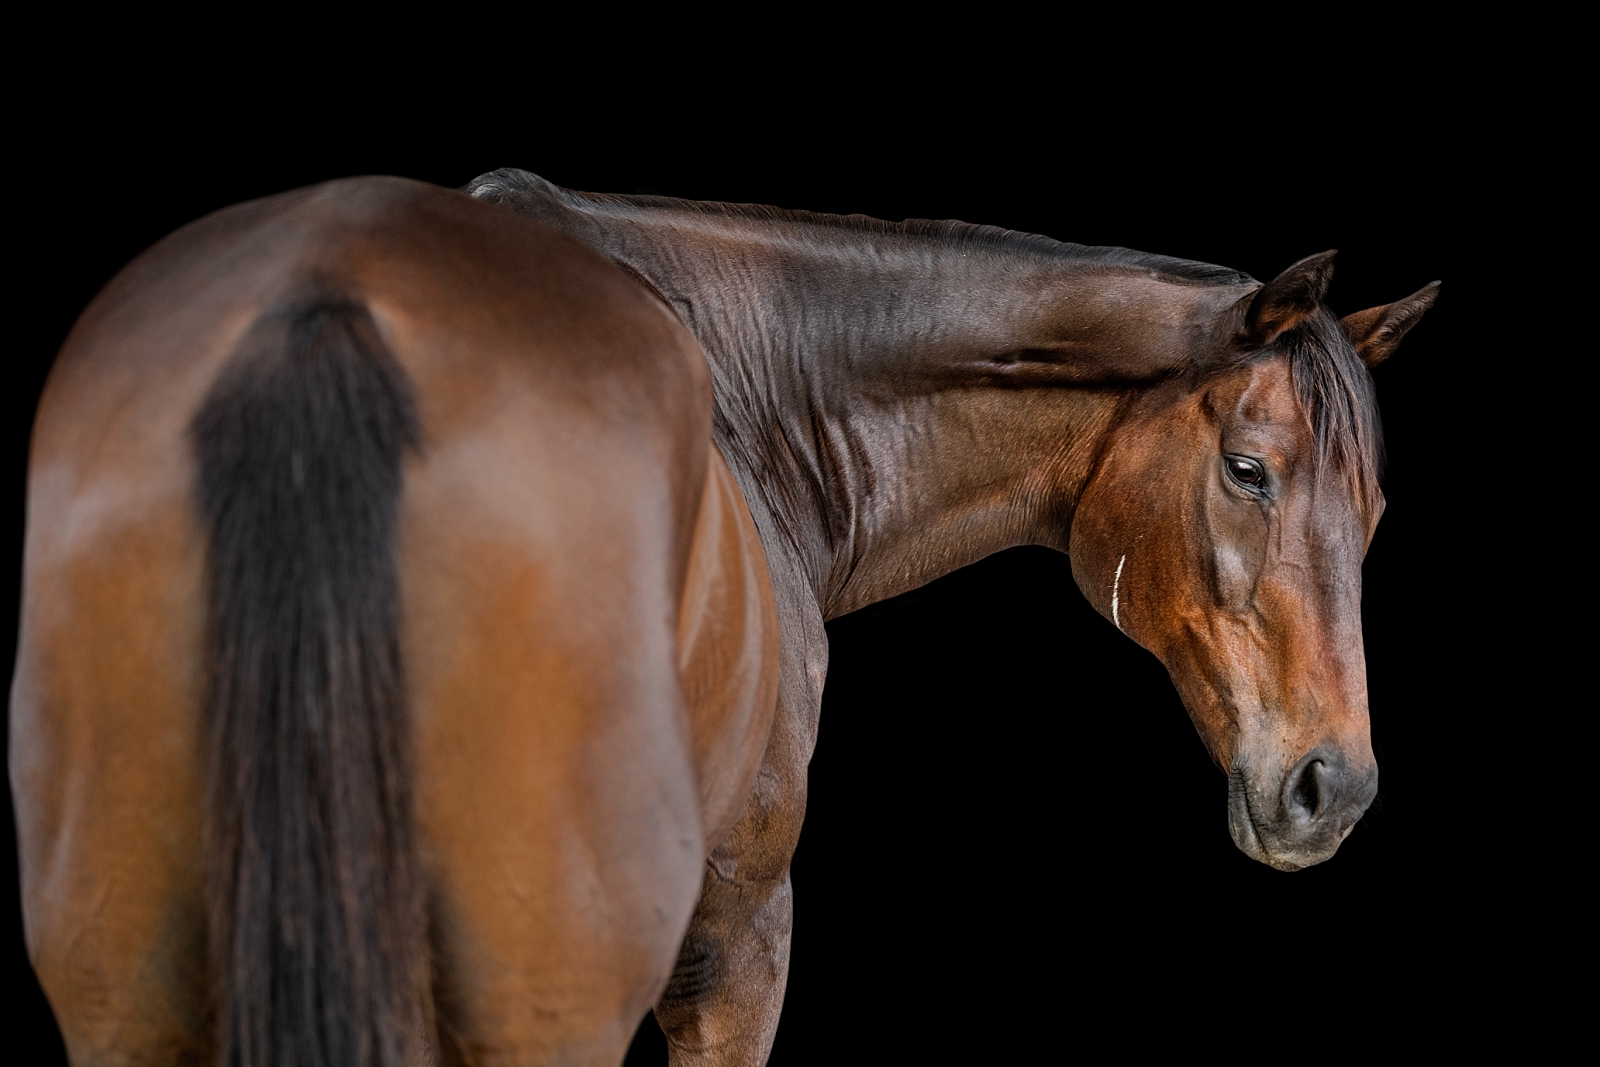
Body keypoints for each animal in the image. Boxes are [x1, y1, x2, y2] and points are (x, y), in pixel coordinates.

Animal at [9, 171, 1440, 1062]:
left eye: (1373, 509)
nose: (1332, 785)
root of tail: (325, 316)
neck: (752, 391)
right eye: (1248, 469)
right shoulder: (735, 940)